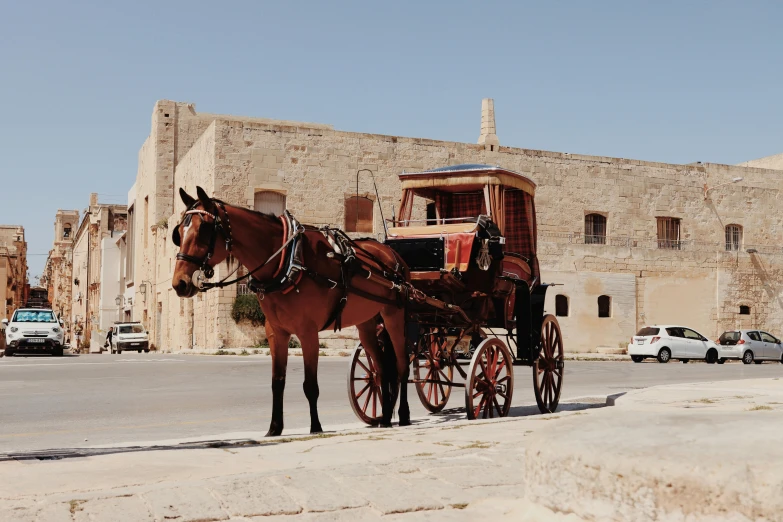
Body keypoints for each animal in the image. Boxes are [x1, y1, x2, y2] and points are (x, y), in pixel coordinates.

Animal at [172, 185, 414, 432]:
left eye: (204, 229)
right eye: (179, 233)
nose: (180, 283)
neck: (288, 261)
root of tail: (393, 255)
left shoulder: (308, 332)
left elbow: (310, 385)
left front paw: (315, 427)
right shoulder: (276, 332)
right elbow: (277, 381)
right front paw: (274, 428)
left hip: (394, 315)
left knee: (402, 364)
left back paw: (403, 414)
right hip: (366, 323)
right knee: (382, 369)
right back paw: (385, 418)